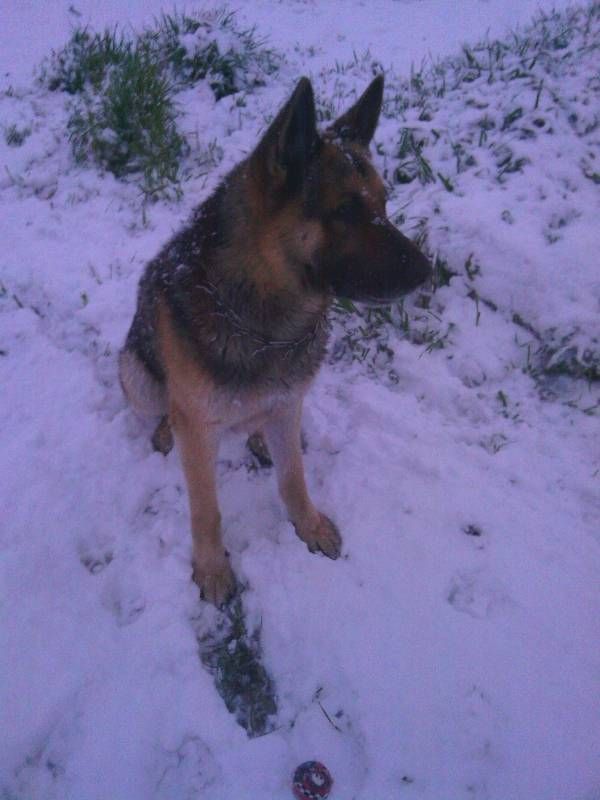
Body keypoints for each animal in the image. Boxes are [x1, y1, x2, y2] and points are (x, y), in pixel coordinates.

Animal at [119, 76, 432, 608]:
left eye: (383, 204)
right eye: (345, 210)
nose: (429, 271)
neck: (264, 324)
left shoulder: (288, 402)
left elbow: (293, 477)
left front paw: (309, 526)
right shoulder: (199, 431)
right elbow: (206, 509)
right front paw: (212, 570)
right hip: (135, 374)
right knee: (164, 406)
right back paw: (166, 429)